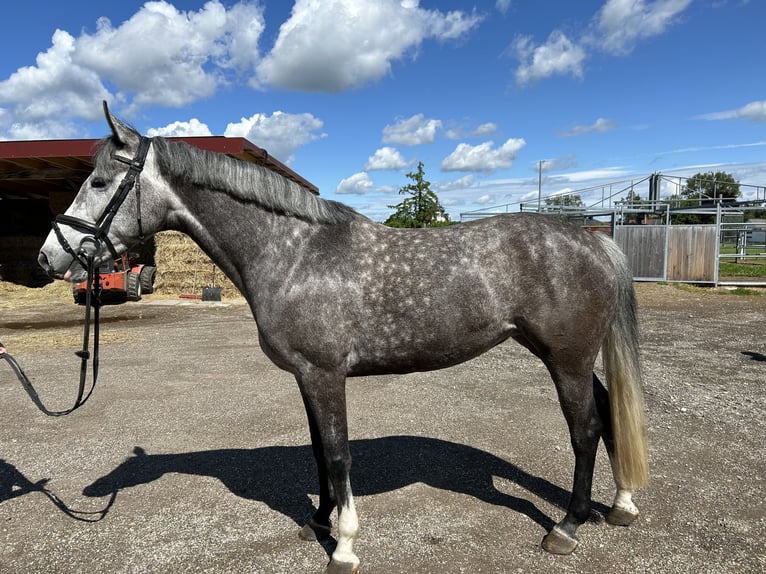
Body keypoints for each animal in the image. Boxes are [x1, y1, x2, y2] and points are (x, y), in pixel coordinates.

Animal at [39, 104, 652, 574]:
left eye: (99, 182)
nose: (49, 256)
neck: (294, 252)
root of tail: (595, 239)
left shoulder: (325, 374)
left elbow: (337, 454)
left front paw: (345, 546)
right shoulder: (307, 378)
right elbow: (318, 450)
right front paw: (319, 519)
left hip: (566, 359)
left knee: (585, 428)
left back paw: (567, 526)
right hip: (567, 356)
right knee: (607, 413)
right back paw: (620, 505)